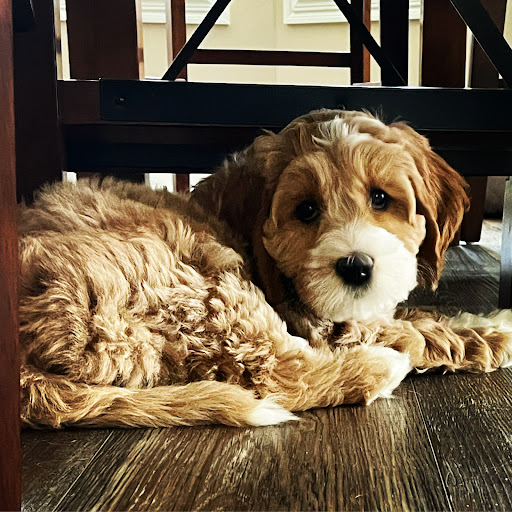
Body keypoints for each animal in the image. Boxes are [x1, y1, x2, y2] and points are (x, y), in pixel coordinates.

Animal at [19, 109, 512, 428]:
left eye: (380, 198)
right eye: (306, 209)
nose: (356, 268)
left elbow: (410, 317)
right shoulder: (314, 317)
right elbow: (413, 331)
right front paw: (490, 335)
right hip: (194, 278)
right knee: (279, 374)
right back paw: (379, 367)